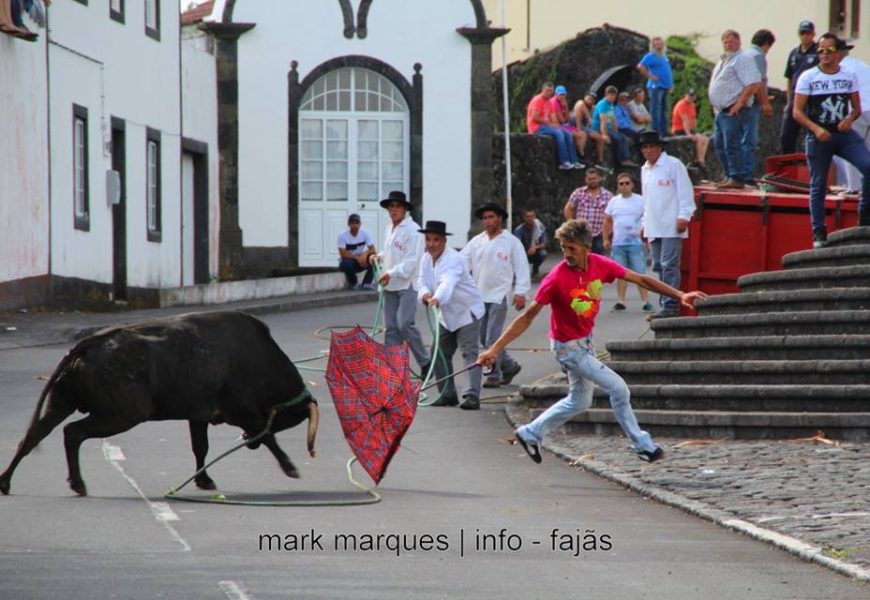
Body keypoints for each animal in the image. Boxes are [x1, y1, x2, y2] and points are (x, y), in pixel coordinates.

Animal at [0, 310, 320, 496]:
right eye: (286, 419)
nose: (246, 441)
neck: (261, 355)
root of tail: (88, 343)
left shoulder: (199, 415)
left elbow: (200, 447)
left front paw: (204, 480)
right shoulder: (240, 410)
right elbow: (267, 437)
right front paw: (290, 468)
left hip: (62, 401)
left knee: (34, 435)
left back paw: (7, 482)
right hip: (121, 414)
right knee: (73, 432)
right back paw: (77, 483)